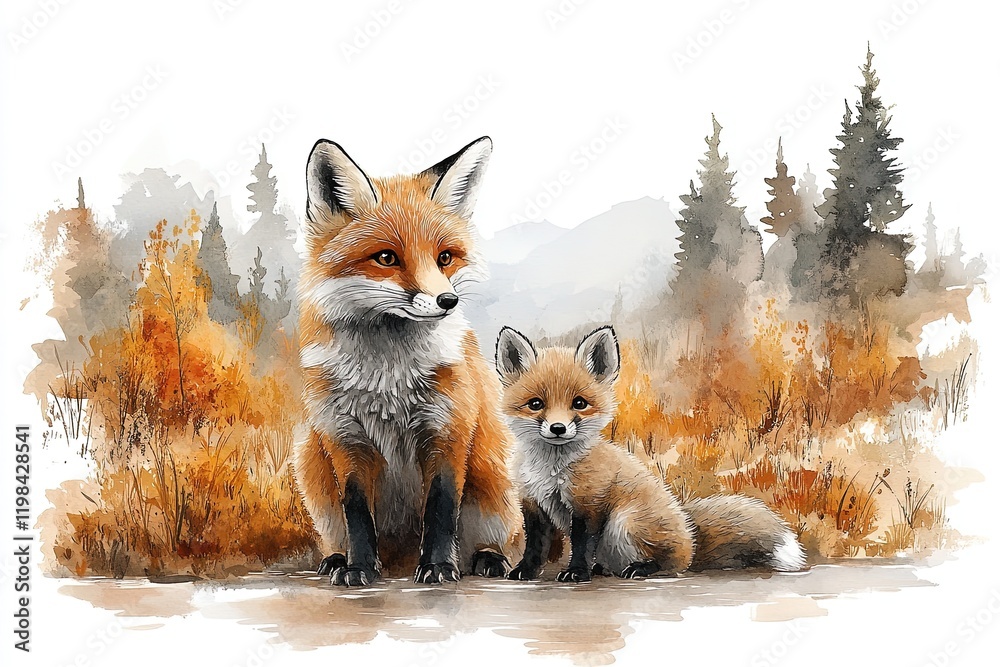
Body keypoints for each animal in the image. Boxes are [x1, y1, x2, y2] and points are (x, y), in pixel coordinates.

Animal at [293, 136, 522, 587]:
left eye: (445, 258)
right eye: (386, 258)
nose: (448, 300)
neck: (386, 377)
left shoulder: (448, 431)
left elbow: (441, 510)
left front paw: (437, 567)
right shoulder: (344, 439)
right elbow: (357, 514)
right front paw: (359, 568)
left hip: (492, 480)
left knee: (499, 537)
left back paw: (487, 558)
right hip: (310, 461)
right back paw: (337, 559)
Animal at [495, 326, 806, 582]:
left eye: (579, 403)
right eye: (536, 404)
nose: (558, 428)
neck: (550, 469)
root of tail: (691, 537)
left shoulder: (589, 504)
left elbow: (582, 545)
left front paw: (577, 573)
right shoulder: (533, 503)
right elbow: (535, 547)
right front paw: (524, 571)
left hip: (625, 521)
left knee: (672, 564)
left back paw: (640, 569)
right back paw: (605, 569)